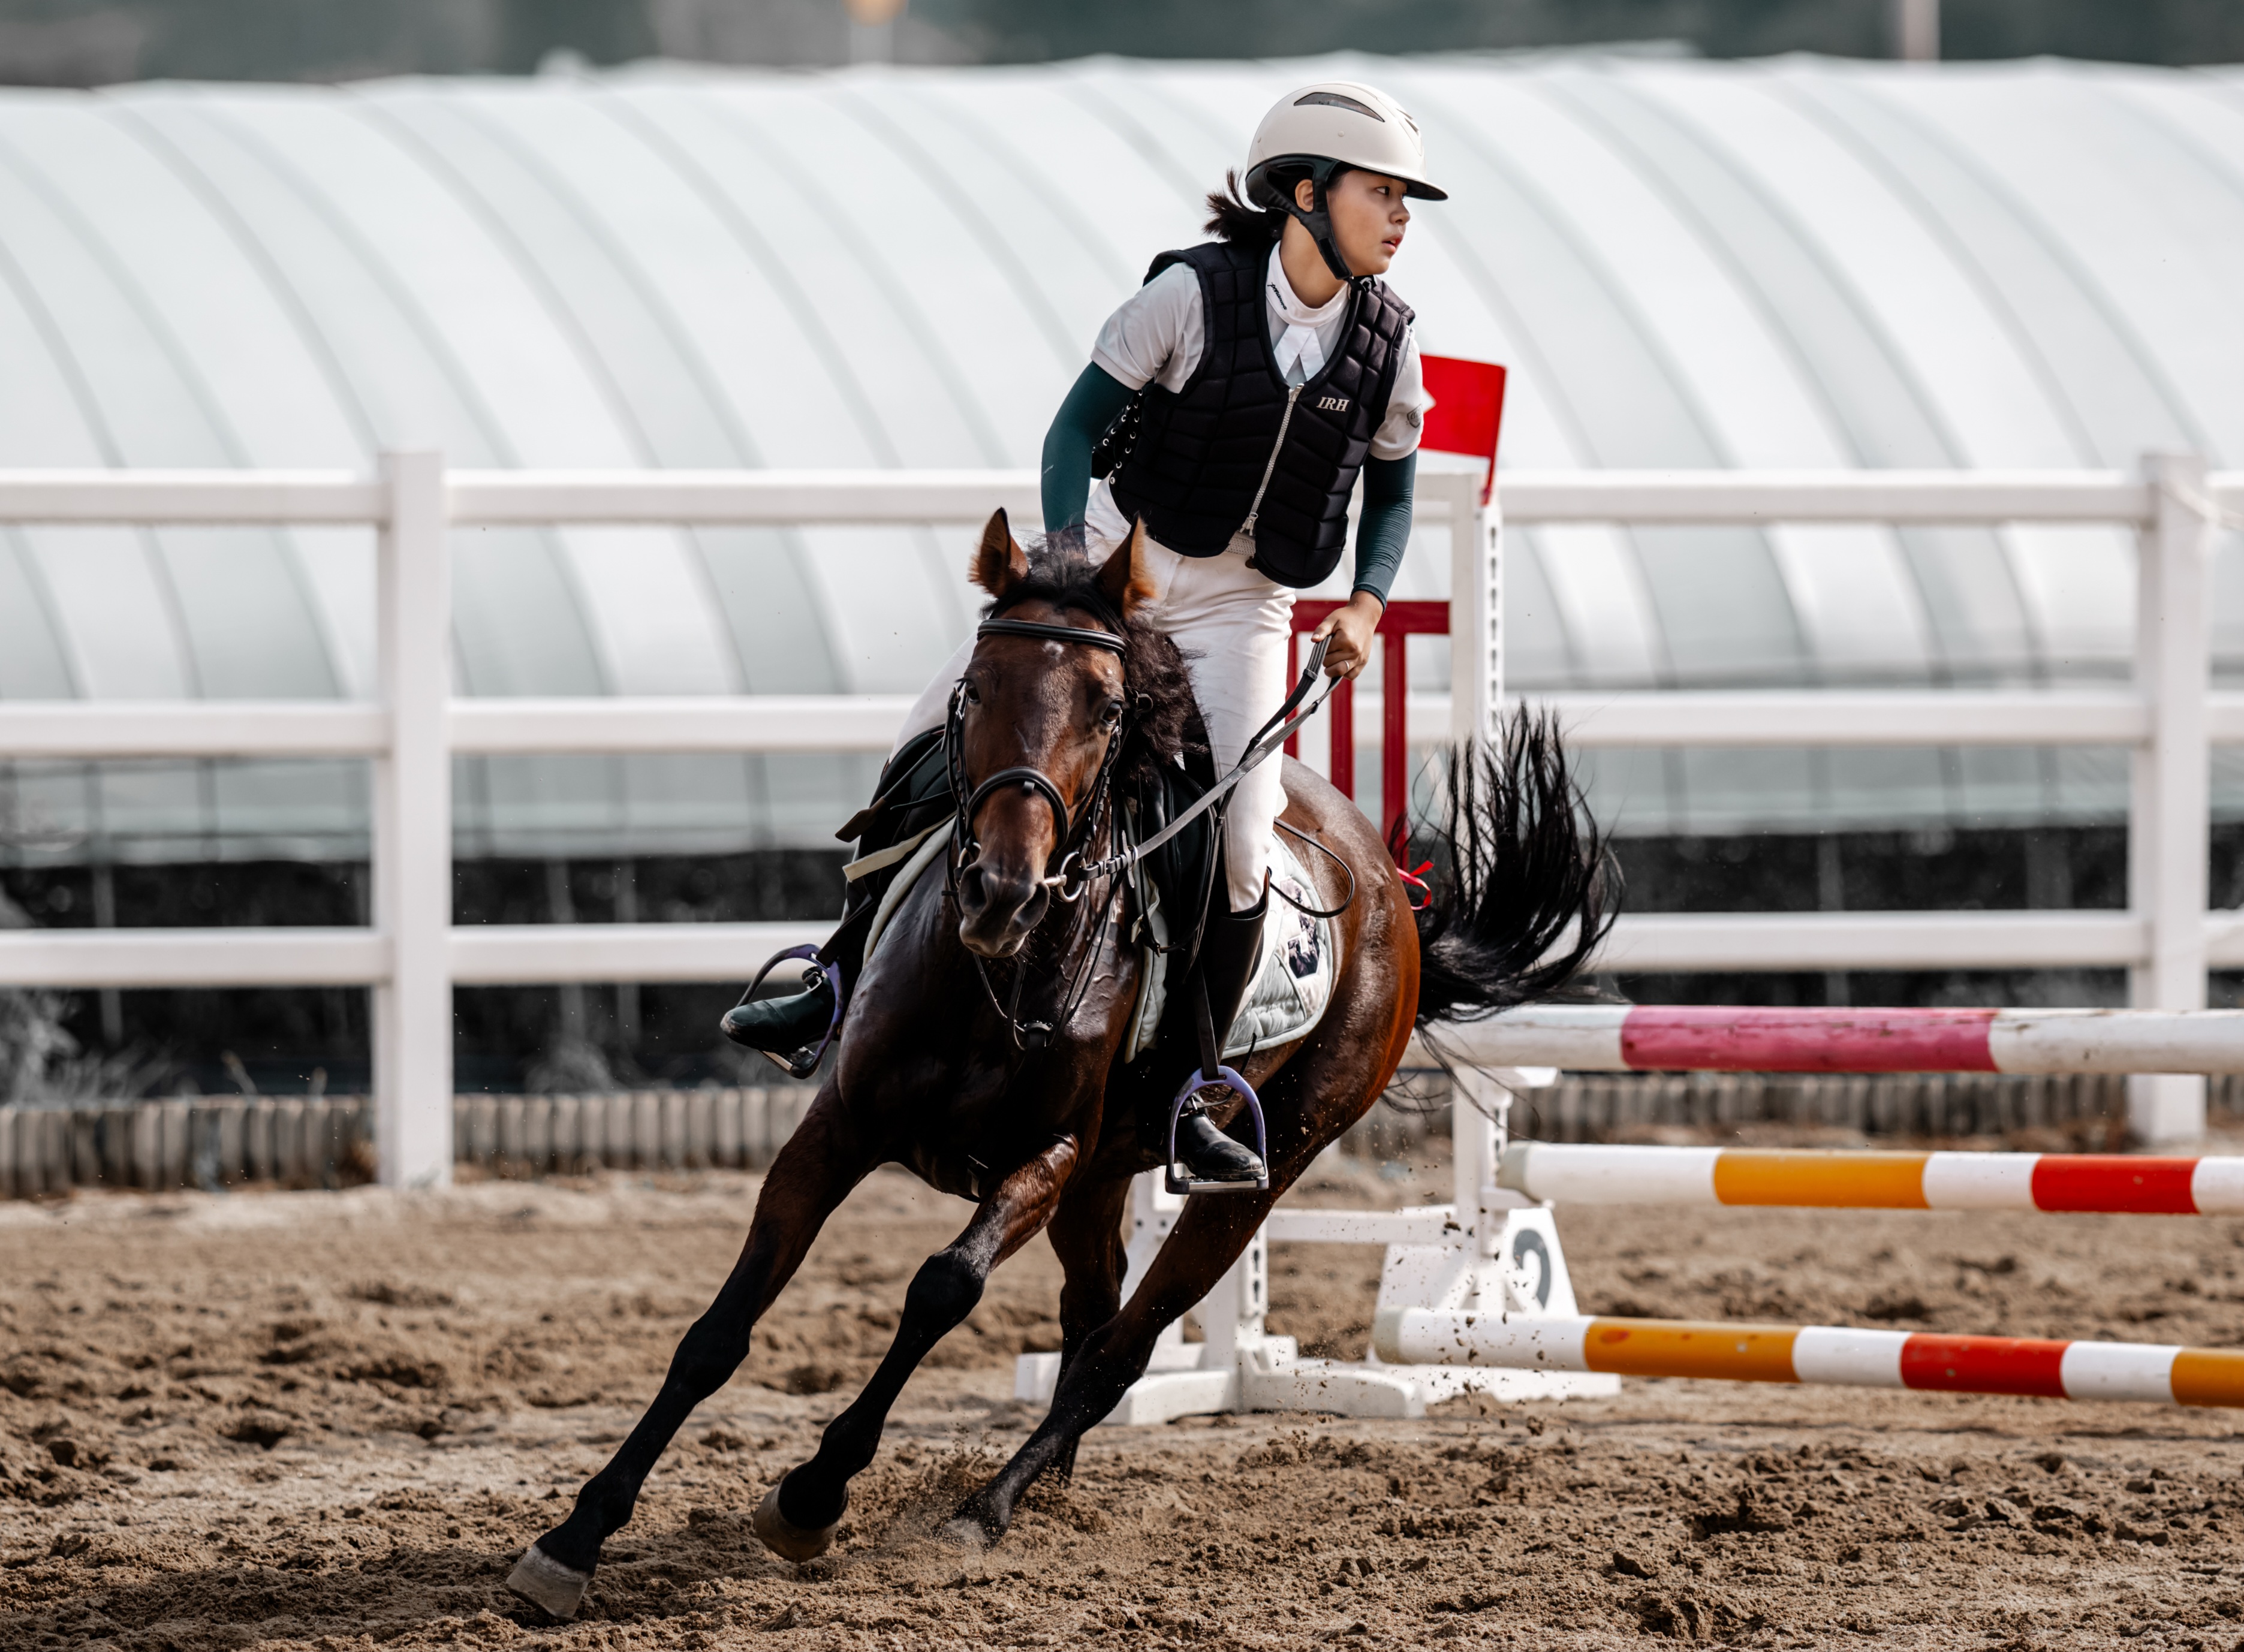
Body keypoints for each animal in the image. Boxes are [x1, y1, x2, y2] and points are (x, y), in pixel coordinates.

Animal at [507, 514, 1606, 1616]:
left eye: (1107, 708)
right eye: (974, 687)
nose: (1003, 891)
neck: (991, 977)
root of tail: (1388, 881)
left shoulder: (1046, 1156)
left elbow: (942, 1287)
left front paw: (814, 1494)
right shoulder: (840, 1128)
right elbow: (720, 1329)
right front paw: (574, 1537)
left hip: (1258, 1168)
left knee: (1120, 1347)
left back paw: (984, 1511)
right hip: (1106, 1176)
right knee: (1094, 1311)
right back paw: (1048, 1494)